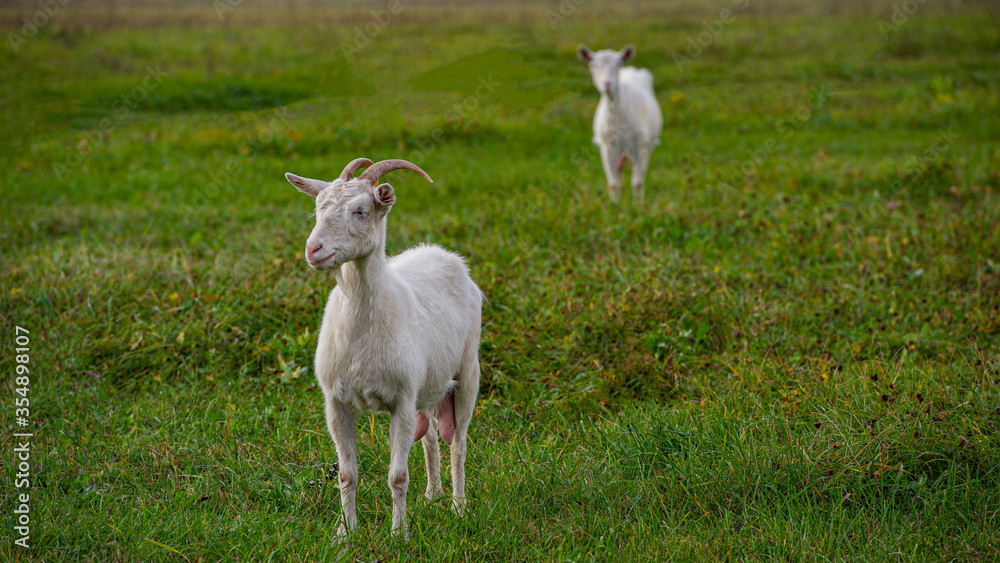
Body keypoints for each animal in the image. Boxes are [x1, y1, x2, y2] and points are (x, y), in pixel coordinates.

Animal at [285, 158, 482, 539]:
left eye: (360, 211)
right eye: (318, 209)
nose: (313, 250)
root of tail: (441, 252)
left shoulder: (401, 401)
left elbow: (398, 476)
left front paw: (399, 535)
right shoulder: (335, 402)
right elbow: (347, 475)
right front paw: (345, 534)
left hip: (468, 371)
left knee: (460, 442)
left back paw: (459, 506)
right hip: (428, 385)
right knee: (431, 435)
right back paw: (433, 494)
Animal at [578, 44, 663, 204]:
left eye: (618, 64)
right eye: (594, 65)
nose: (607, 84)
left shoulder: (638, 144)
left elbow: (637, 183)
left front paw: (638, 206)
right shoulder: (607, 147)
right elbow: (613, 184)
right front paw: (614, 206)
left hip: (648, 142)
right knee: (620, 167)